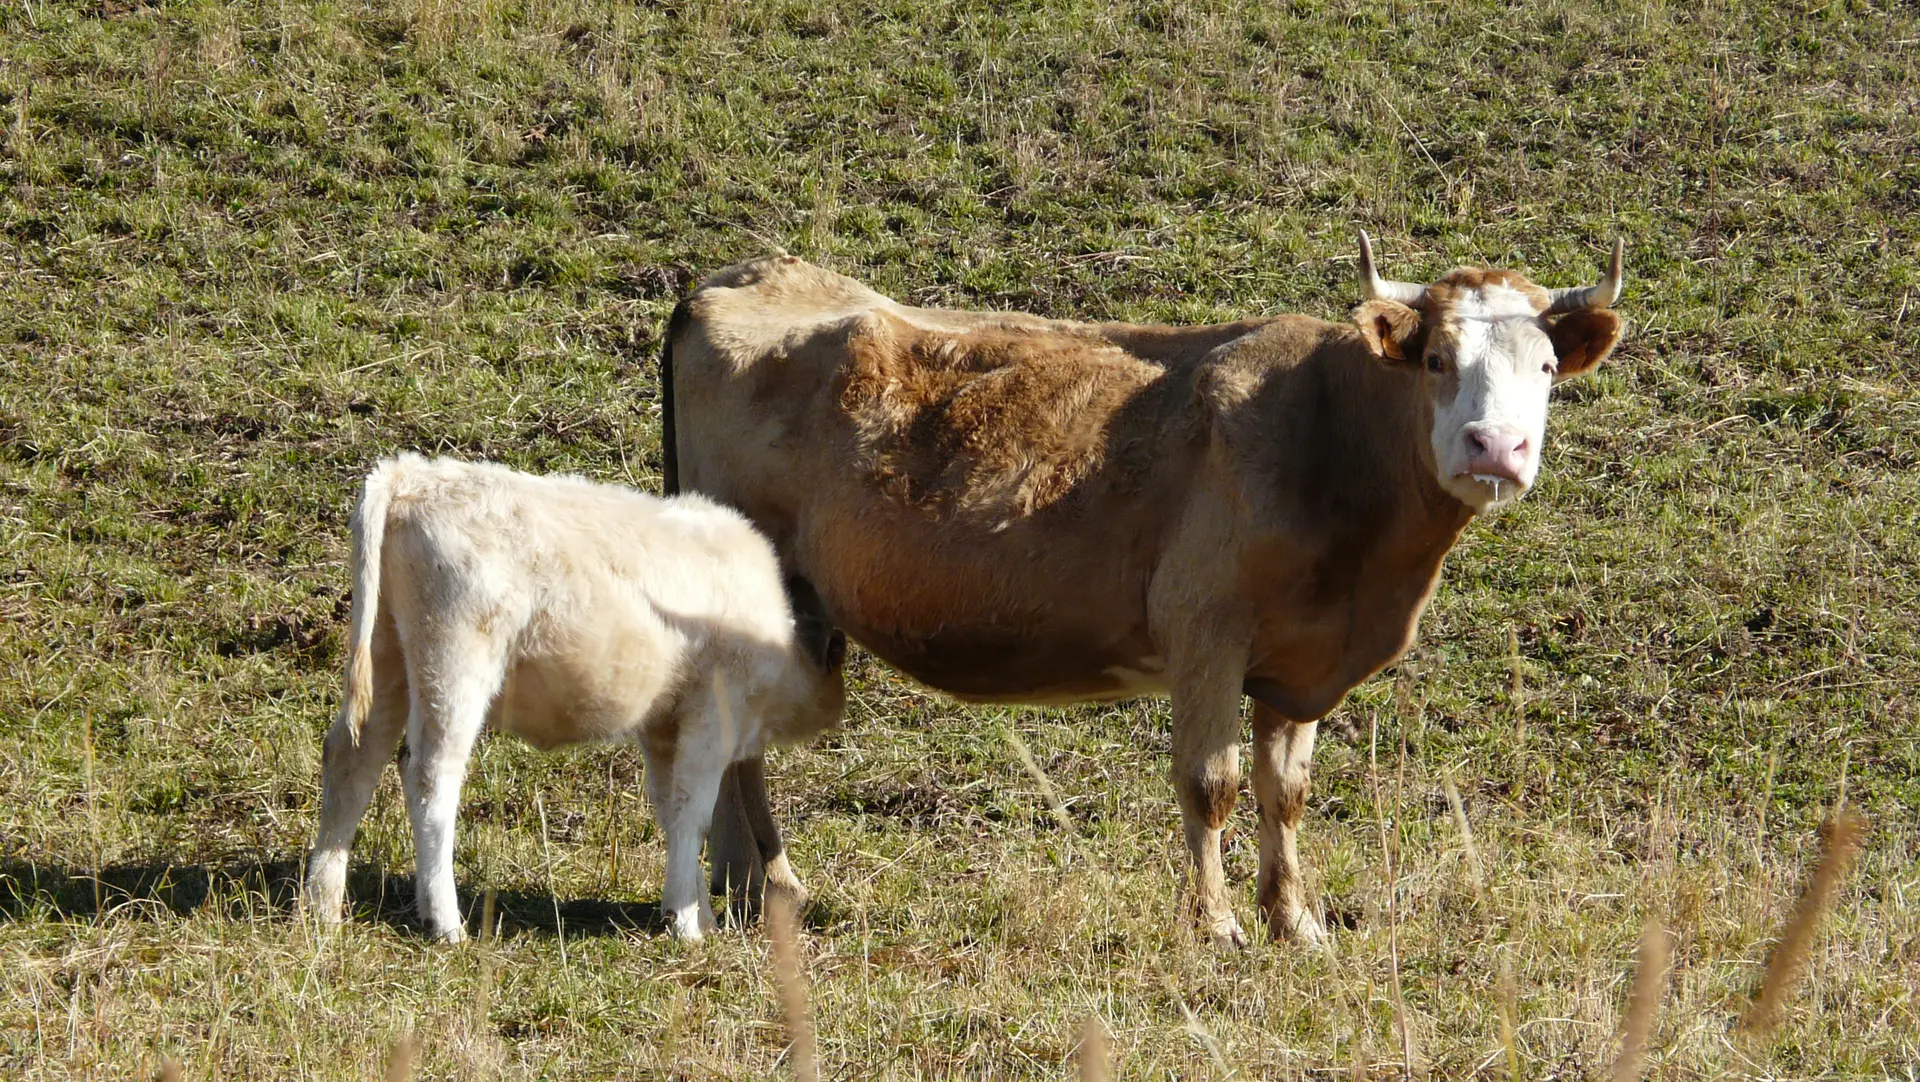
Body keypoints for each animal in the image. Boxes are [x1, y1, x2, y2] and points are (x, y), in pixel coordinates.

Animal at [303, 453, 847, 943]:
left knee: (351, 759)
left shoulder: (662, 724)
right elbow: (694, 811)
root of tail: (410, 474)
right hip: (454, 662)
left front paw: (693, 912)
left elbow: (670, 809)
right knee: (430, 777)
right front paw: (690, 927)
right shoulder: (713, 715)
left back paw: (323, 905)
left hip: (387, 654)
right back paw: (446, 921)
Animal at [661, 234, 1625, 947]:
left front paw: (1296, 921)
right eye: (1435, 360)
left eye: (1546, 369)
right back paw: (769, 884)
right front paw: (1219, 926)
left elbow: (1287, 791)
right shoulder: (1207, 629)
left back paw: (744, 888)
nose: (1495, 447)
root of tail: (738, 276)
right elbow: (1212, 783)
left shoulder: (1299, 663)